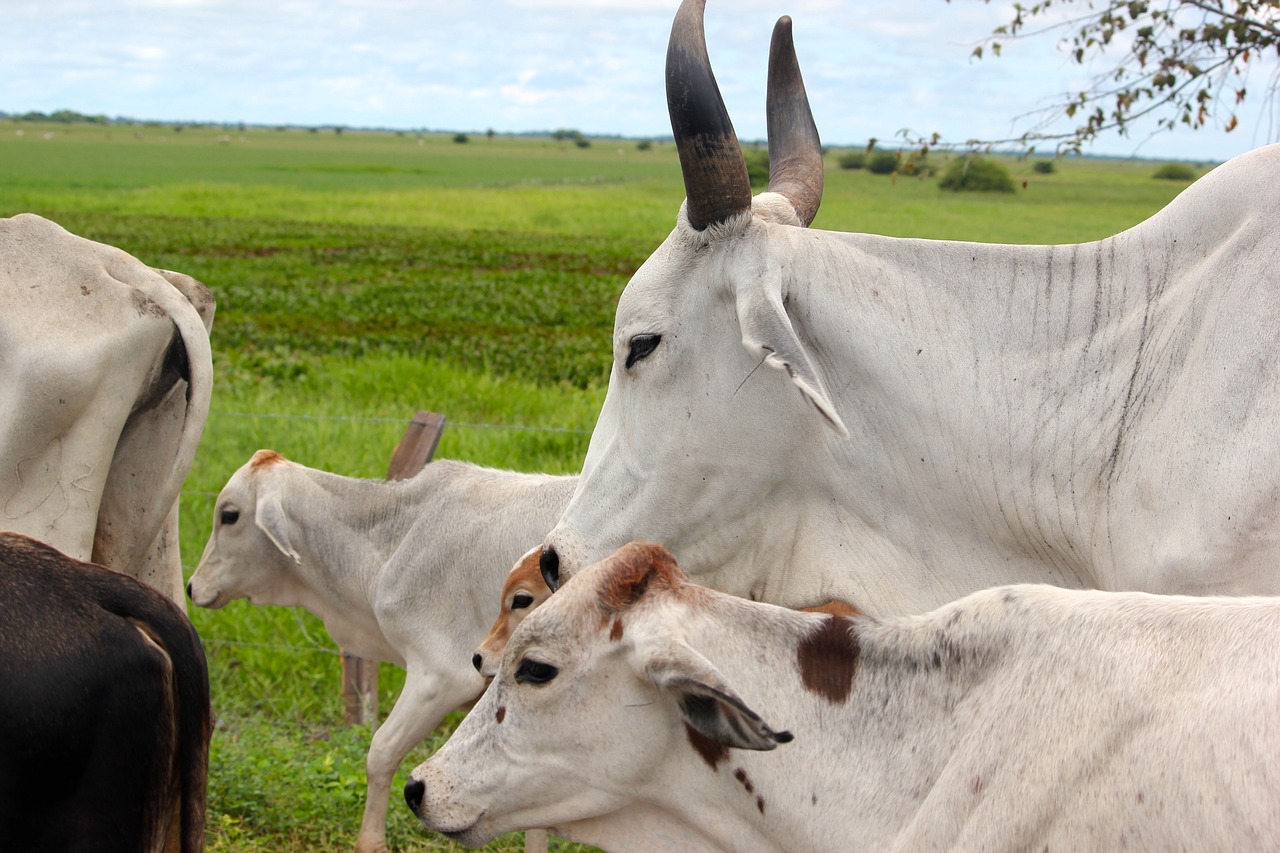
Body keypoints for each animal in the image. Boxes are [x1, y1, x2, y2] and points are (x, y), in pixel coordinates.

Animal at [186, 448, 576, 845]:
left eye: (229, 515)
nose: (191, 586)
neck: (396, 536)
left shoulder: (441, 676)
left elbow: (380, 754)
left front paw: (370, 842)